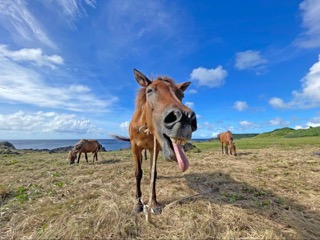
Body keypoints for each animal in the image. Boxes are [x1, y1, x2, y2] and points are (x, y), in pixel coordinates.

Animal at [113, 69, 198, 214]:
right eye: (150, 90)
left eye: (181, 95)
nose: (185, 118)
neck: (145, 128)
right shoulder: (135, 148)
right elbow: (138, 173)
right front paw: (138, 203)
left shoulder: (155, 148)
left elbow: (153, 173)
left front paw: (153, 203)